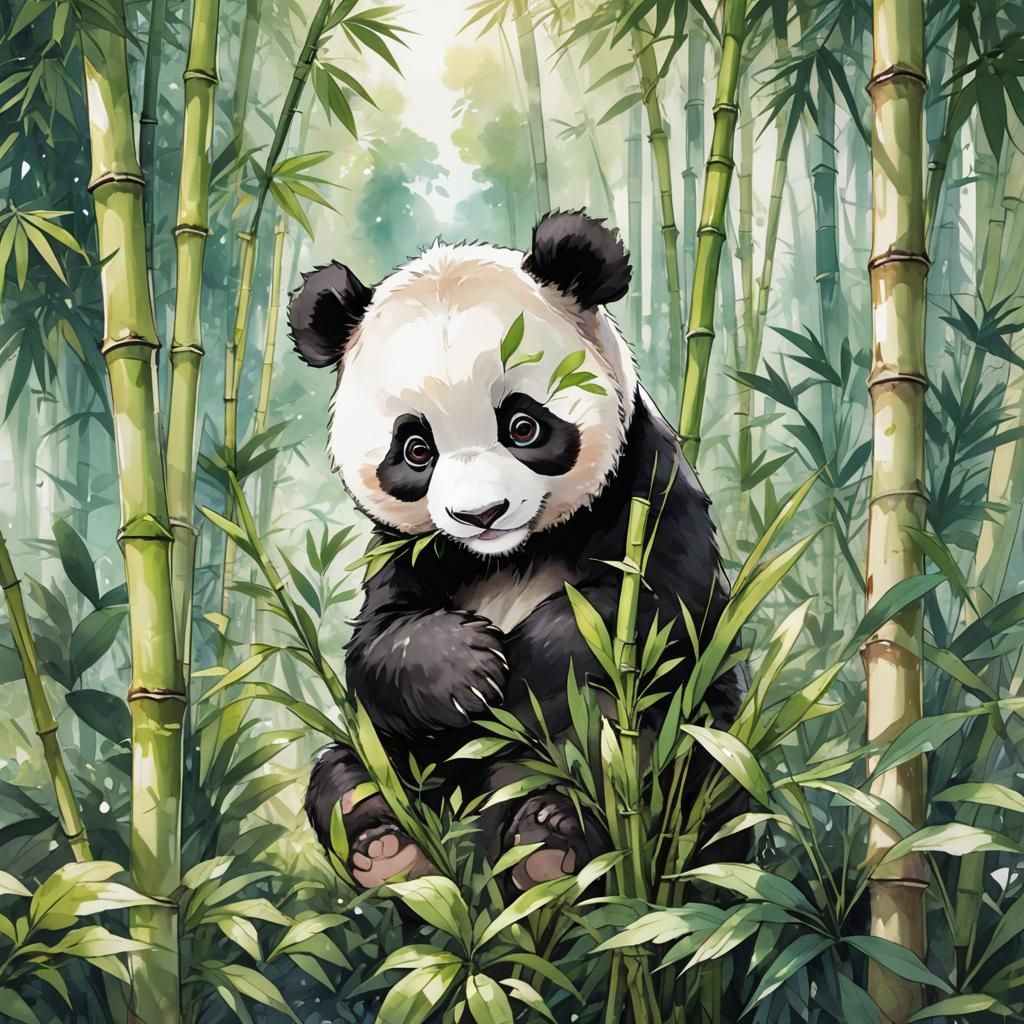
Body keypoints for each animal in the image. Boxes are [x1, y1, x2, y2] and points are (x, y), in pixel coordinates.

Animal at [290, 210, 746, 891]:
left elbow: (646, 611)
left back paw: (549, 838)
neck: (513, 553)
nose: (480, 515)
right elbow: (376, 644)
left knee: (645, 752)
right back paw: (383, 838)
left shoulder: (647, 483)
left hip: (681, 762)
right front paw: (463, 670)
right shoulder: (411, 548)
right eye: (415, 449)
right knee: (356, 765)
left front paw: (510, 676)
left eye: (523, 426)